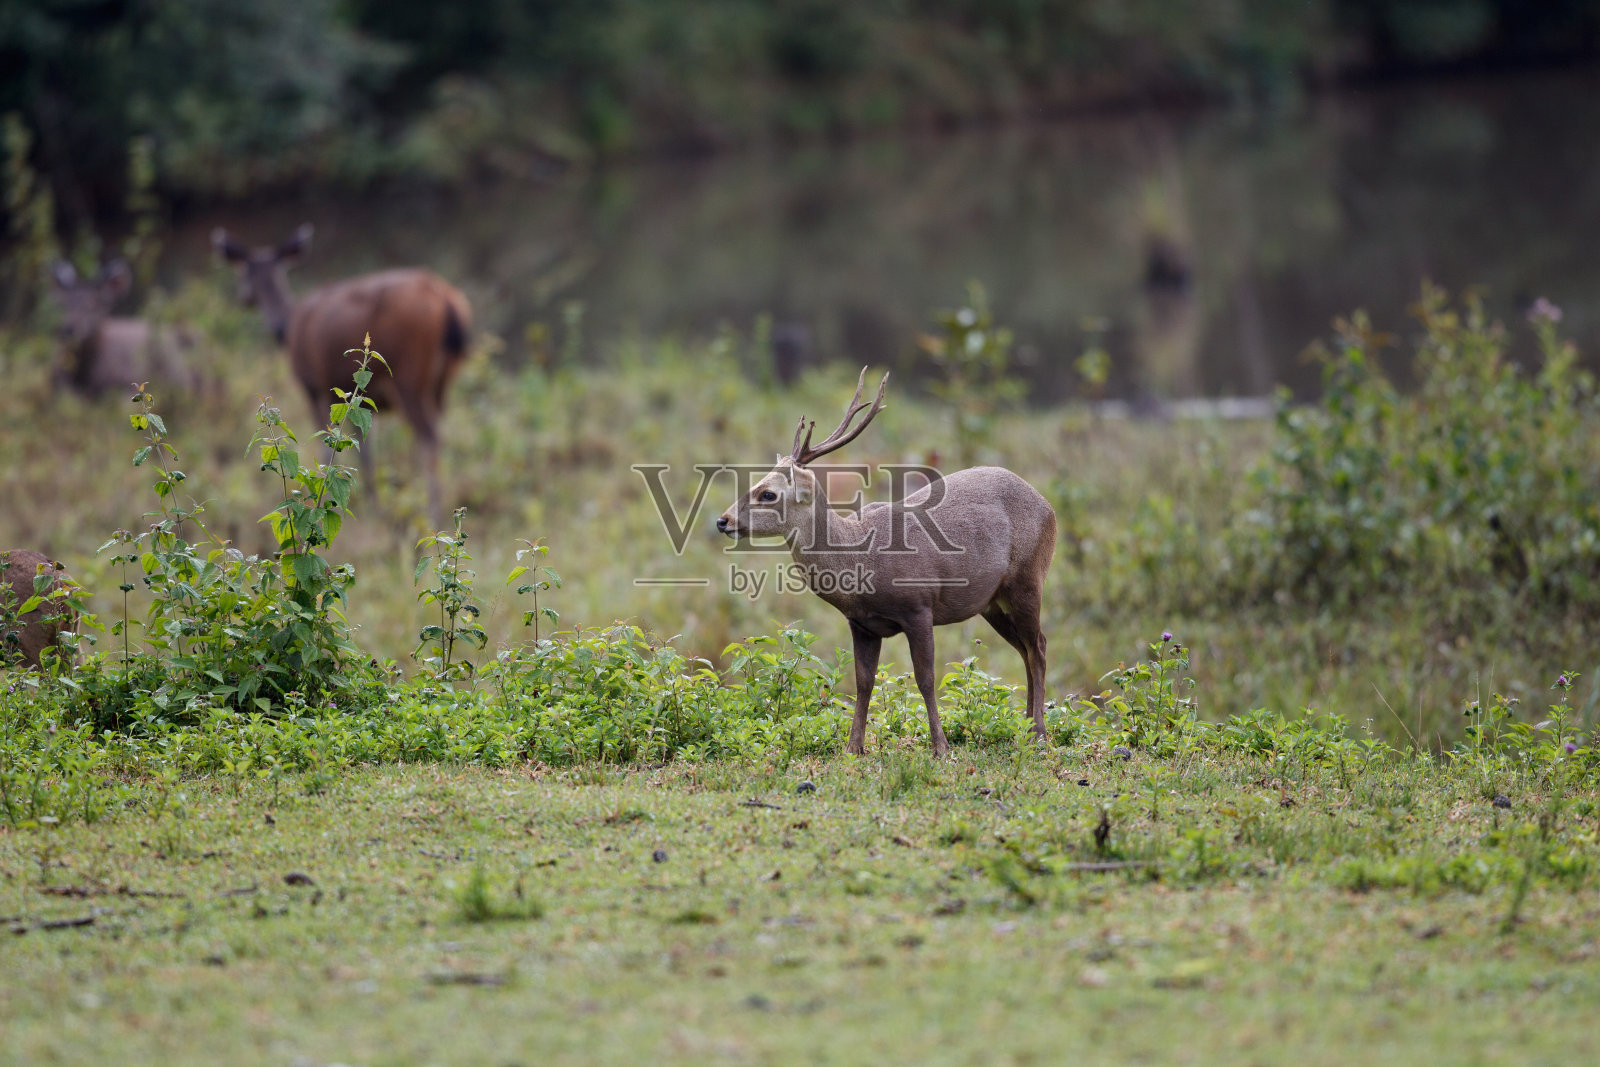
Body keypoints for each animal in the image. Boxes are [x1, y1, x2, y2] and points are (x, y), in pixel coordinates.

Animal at [212, 224, 472, 521]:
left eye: (243, 272)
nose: (243, 298)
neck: (290, 327)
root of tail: (448, 301)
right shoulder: (363, 403)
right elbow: (365, 451)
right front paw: (373, 506)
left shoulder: (314, 386)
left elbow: (324, 448)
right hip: (443, 380)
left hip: (410, 376)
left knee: (429, 435)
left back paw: (434, 514)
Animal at [717, 369, 1057, 757]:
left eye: (768, 493)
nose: (723, 520)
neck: (861, 562)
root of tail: (1047, 504)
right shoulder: (861, 623)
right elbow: (863, 683)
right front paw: (854, 747)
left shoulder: (919, 606)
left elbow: (926, 679)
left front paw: (940, 747)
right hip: (991, 603)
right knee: (1025, 650)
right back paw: (1026, 728)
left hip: (1028, 578)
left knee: (1039, 647)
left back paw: (1039, 734)